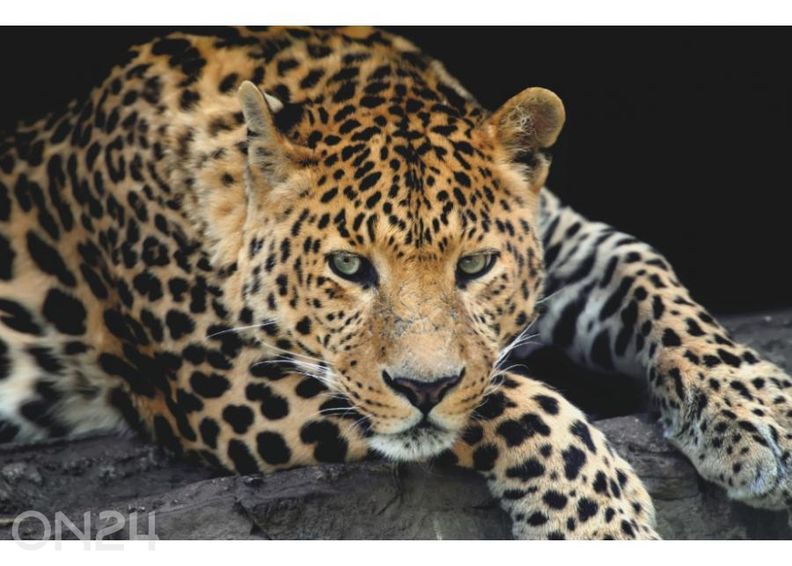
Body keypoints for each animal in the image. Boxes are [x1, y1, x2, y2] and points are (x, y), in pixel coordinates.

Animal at [0, 26, 790, 540]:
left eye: (473, 266)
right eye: (350, 266)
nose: (422, 388)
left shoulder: (560, 245)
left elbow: (646, 270)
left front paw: (757, 411)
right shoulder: (219, 379)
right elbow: (506, 393)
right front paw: (603, 522)